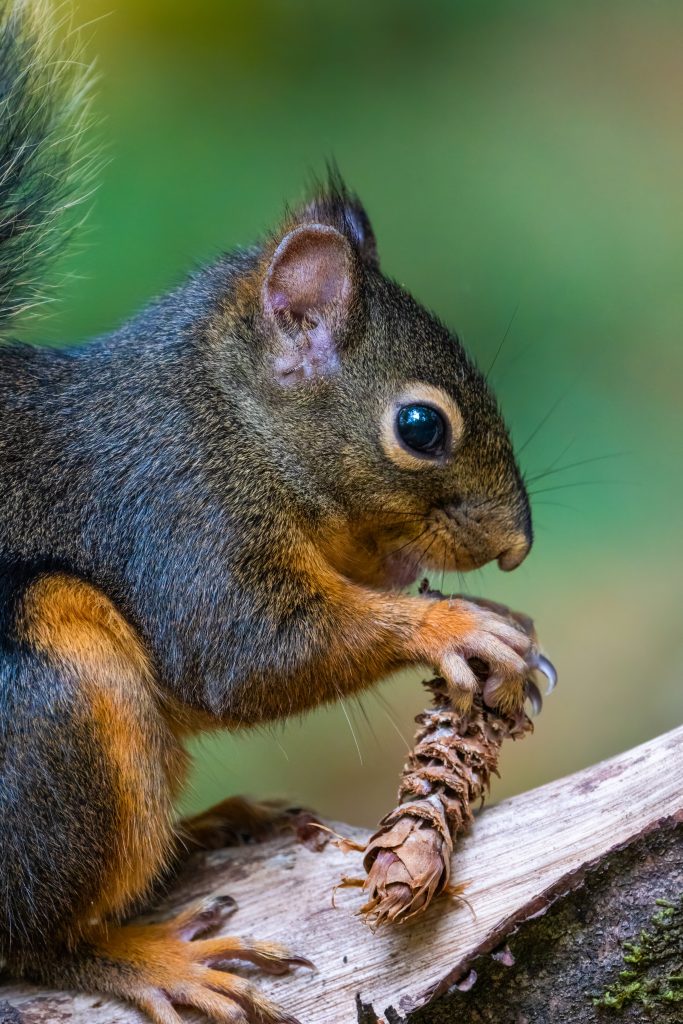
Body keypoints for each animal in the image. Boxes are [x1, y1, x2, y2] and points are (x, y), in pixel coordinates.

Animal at [0, 2, 544, 1024]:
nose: (517, 548)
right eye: (421, 426)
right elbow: (249, 652)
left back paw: (216, 827)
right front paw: (454, 623)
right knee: (30, 941)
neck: (230, 418)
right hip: (49, 687)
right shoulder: (179, 511)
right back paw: (151, 959)